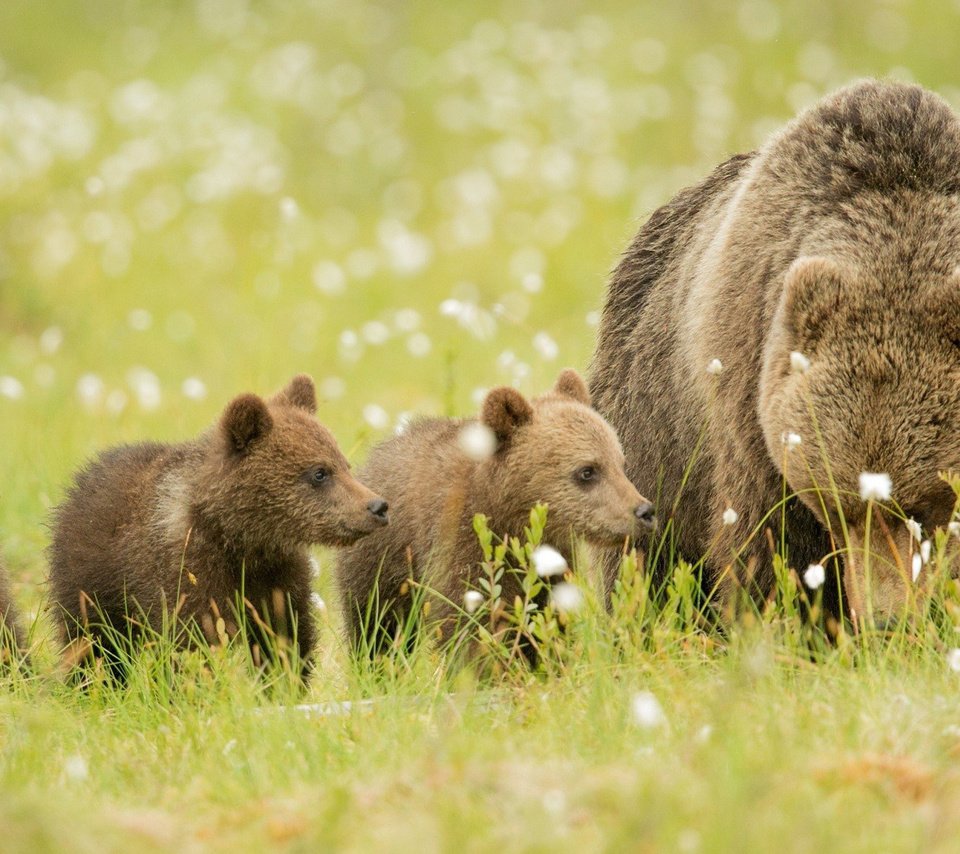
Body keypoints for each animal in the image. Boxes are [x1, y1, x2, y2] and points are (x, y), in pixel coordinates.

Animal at [588, 80, 960, 628]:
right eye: (836, 505)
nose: (884, 619)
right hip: (652, 419)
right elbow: (767, 541)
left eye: (923, 505)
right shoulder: (751, 396)